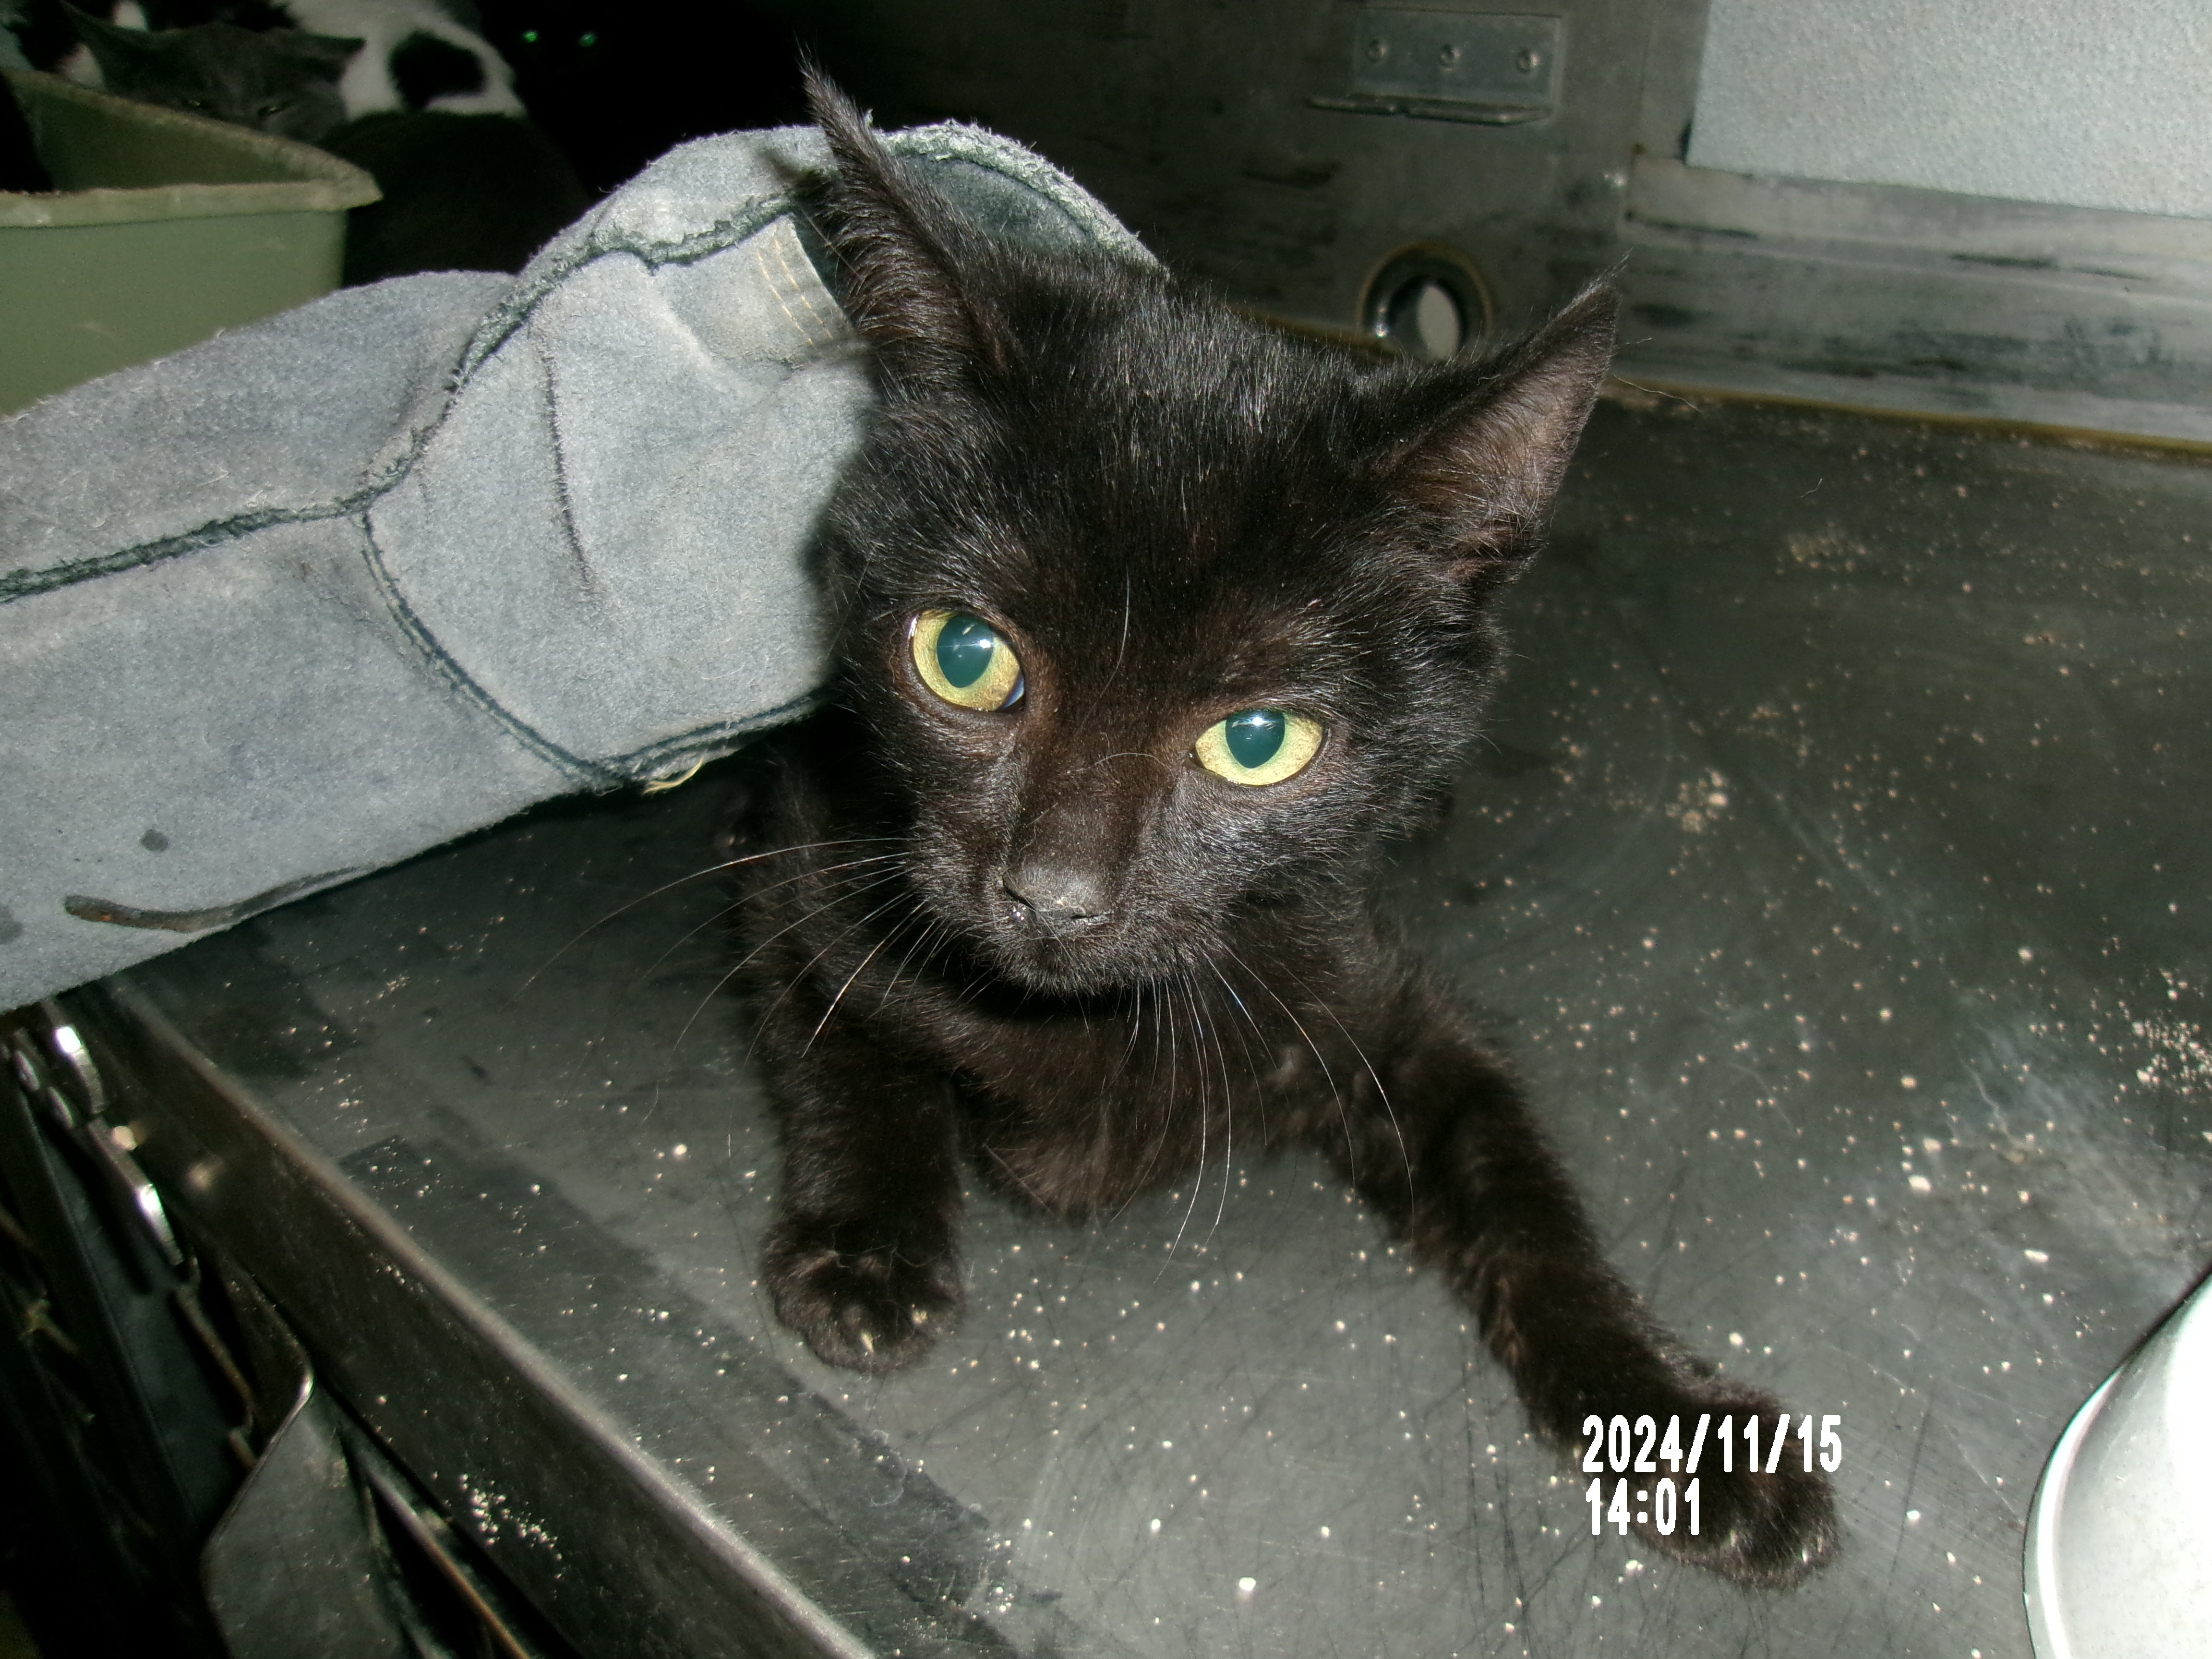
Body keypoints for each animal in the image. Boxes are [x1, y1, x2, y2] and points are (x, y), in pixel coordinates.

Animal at [734, 81, 1840, 1601]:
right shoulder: (799, 840)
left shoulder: (1388, 1010)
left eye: (1257, 742)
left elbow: (1529, 1204)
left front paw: (1680, 1417)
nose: (1052, 895)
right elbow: (842, 1039)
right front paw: (866, 1244)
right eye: (964, 656)